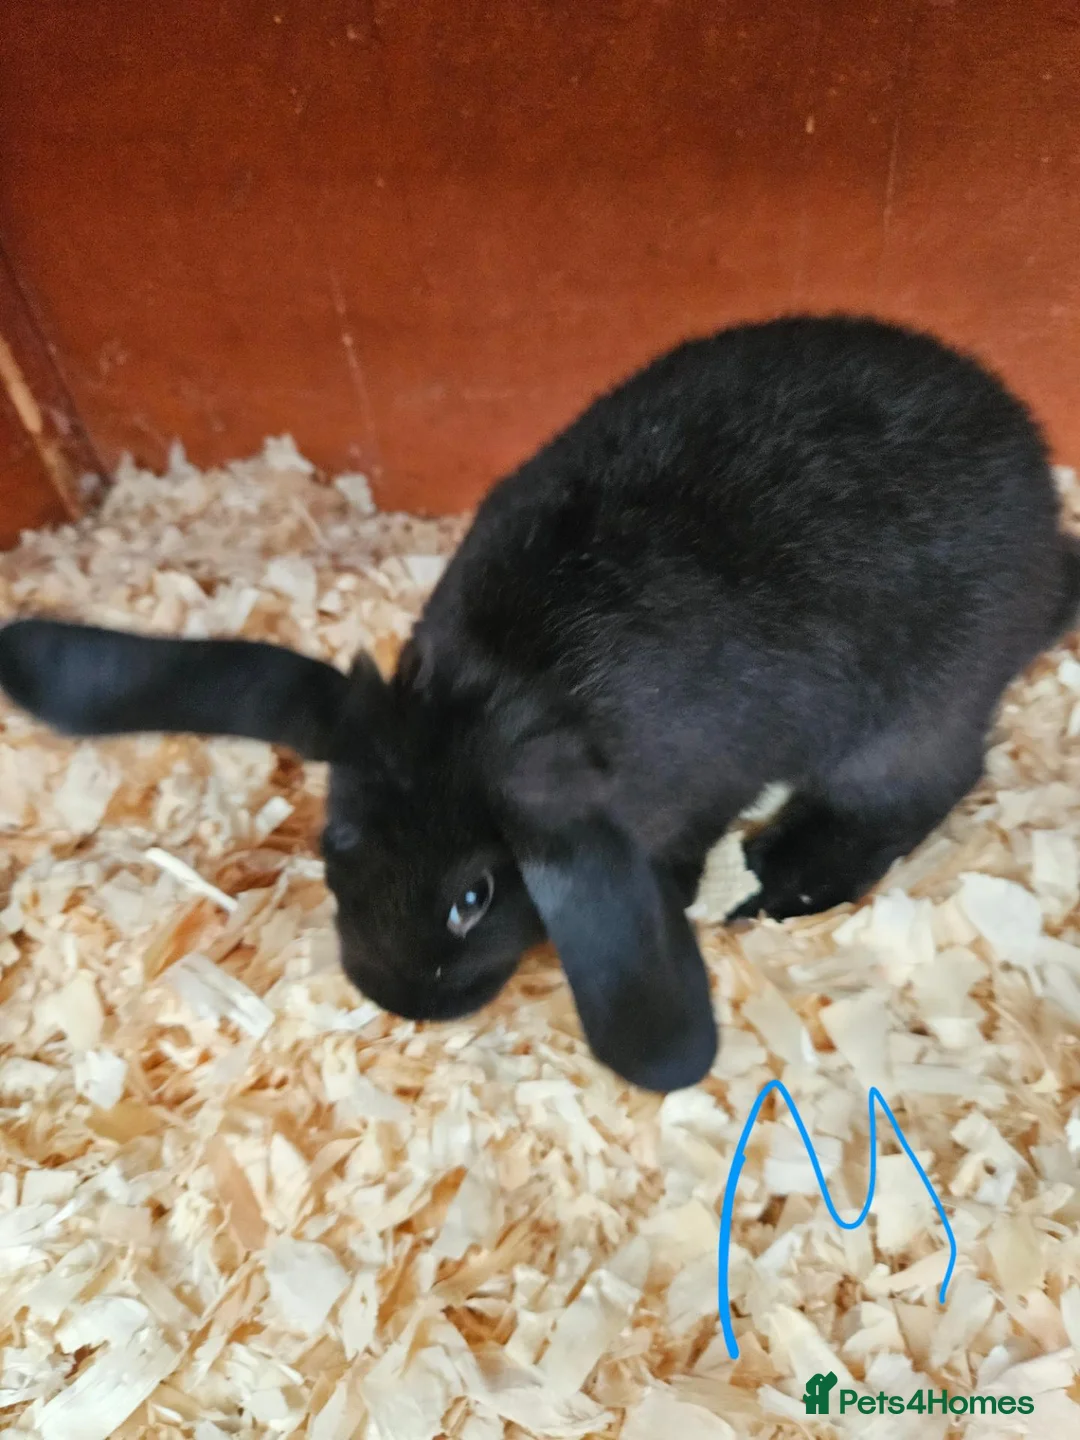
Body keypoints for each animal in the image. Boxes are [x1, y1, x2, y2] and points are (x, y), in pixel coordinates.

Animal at [1, 314, 1078, 1095]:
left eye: (475, 896)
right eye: (332, 849)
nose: (403, 1002)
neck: (491, 697)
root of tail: (1044, 519)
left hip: (910, 715)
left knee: (912, 792)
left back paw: (780, 880)